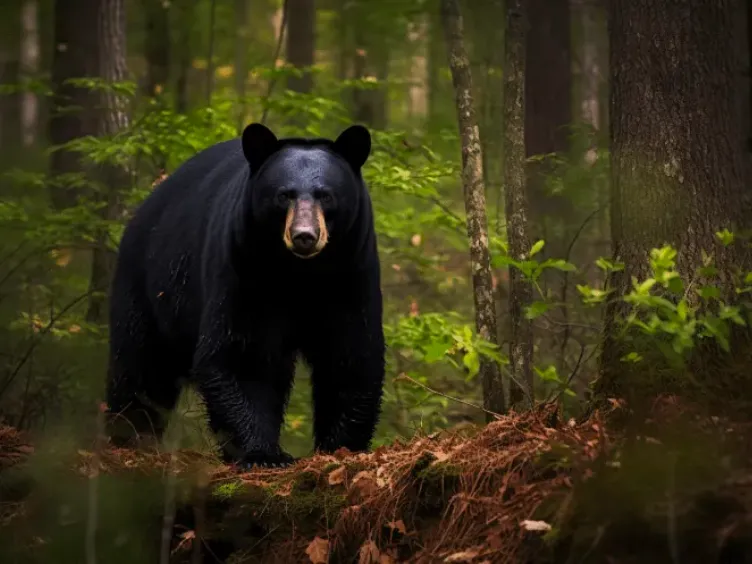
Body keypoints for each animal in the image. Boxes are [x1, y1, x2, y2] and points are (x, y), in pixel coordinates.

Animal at [105, 123, 385, 468]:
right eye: (284, 195)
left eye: (326, 195)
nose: (304, 236)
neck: (301, 273)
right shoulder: (244, 268)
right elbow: (242, 355)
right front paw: (263, 454)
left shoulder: (350, 272)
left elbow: (349, 354)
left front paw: (340, 447)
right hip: (148, 286)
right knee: (141, 365)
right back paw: (128, 436)